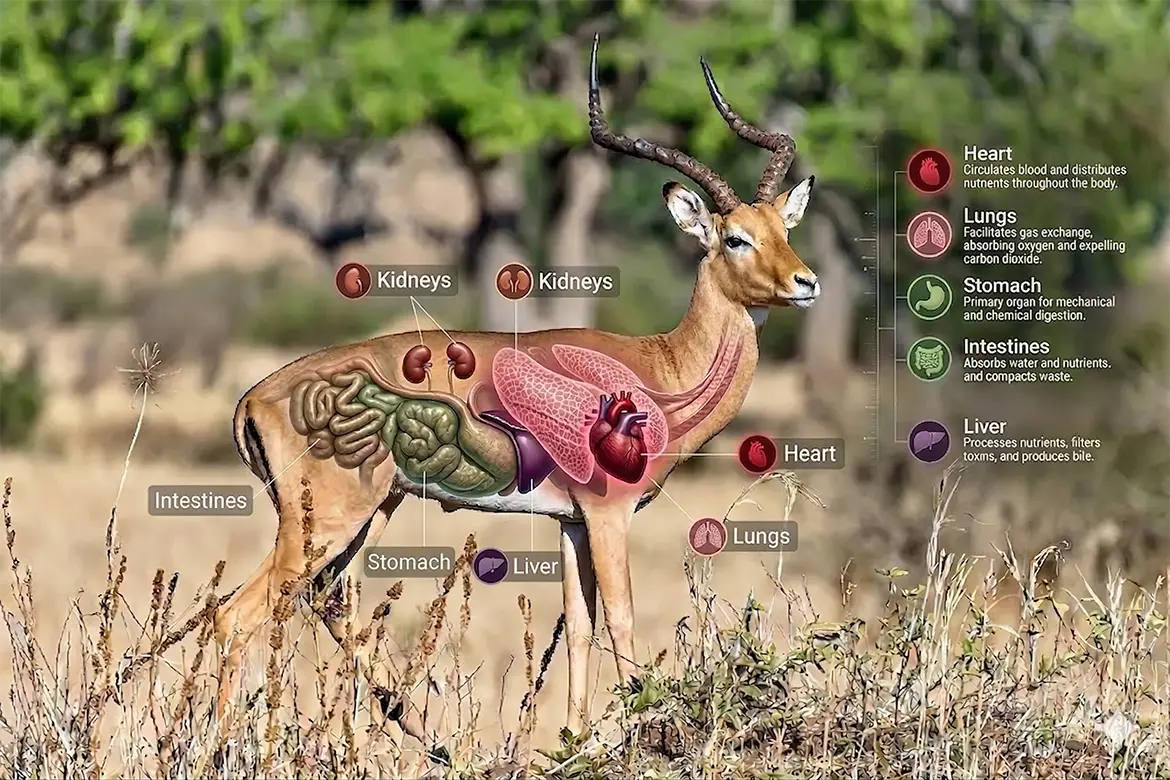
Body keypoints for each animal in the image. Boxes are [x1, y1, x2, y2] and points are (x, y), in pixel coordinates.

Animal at [217, 36, 818, 747]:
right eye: (735, 237)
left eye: (785, 230)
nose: (806, 282)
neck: (661, 367)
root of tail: (254, 397)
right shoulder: (609, 515)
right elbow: (622, 618)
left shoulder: (571, 522)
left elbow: (580, 627)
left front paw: (572, 742)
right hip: (326, 524)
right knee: (236, 616)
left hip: (366, 518)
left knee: (325, 604)